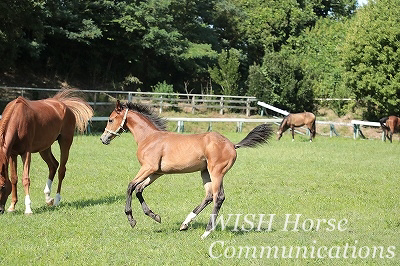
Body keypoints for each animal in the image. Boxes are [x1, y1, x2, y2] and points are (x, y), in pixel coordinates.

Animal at [101, 100, 274, 239]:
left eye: (110, 119)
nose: (103, 139)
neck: (149, 137)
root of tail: (232, 144)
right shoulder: (156, 172)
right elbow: (139, 189)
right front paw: (155, 216)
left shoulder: (148, 168)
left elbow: (130, 186)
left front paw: (131, 219)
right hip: (205, 172)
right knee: (209, 196)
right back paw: (185, 223)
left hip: (216, 172)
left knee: (218, 197)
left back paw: (206, 232)